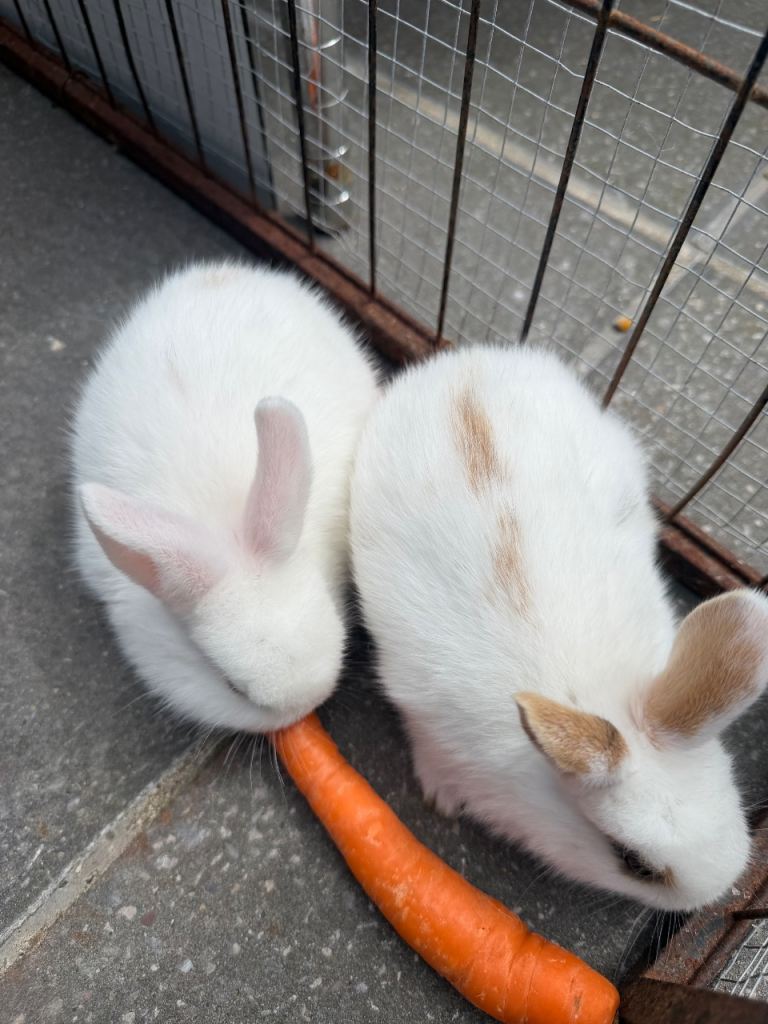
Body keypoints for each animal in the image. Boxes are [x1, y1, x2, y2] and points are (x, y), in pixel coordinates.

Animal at [350, 343, 768, 912]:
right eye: (634, 862)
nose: (719, 890)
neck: (594, 698)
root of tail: (469, 363)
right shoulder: (424, 716)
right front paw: (443, 799)